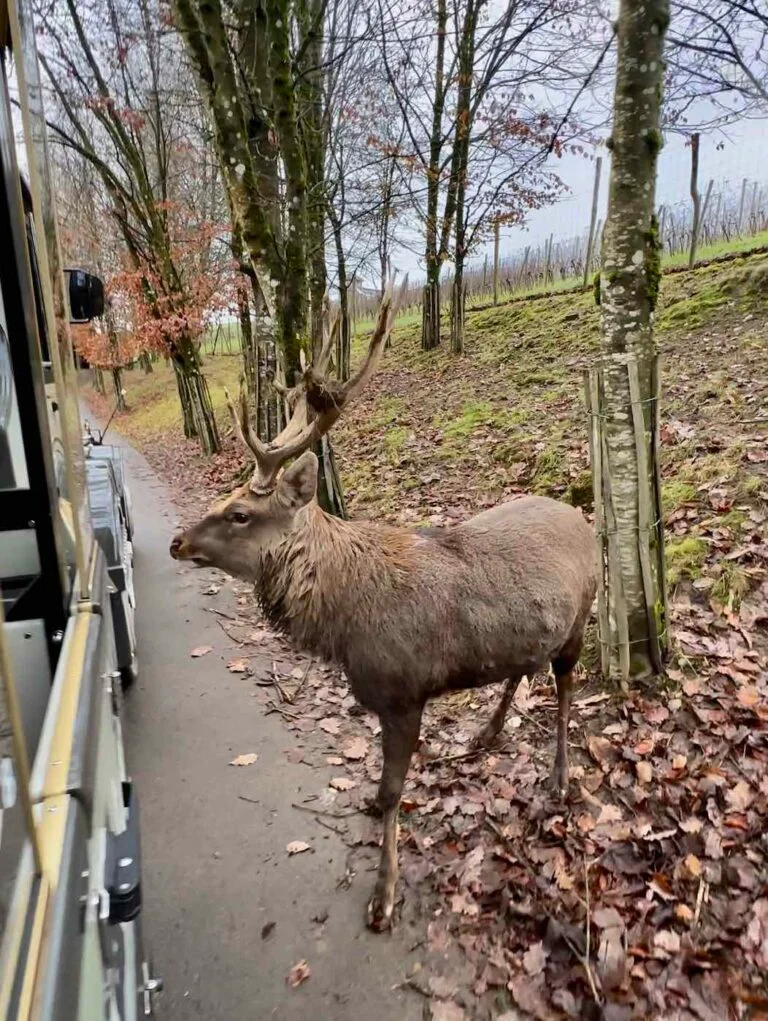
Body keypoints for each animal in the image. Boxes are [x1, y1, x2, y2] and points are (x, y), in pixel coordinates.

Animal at [170, 288, 598, 931]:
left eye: (240, 513)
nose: (177, 542)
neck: (345, 626)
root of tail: (587, 521)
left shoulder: (403, 691)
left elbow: (398, 790)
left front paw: (385, 893)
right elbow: (381, 781)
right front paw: (371, 806)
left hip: (581, 620)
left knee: (567, 687)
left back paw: (560, 777)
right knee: (522, 664)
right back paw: (485, 733)